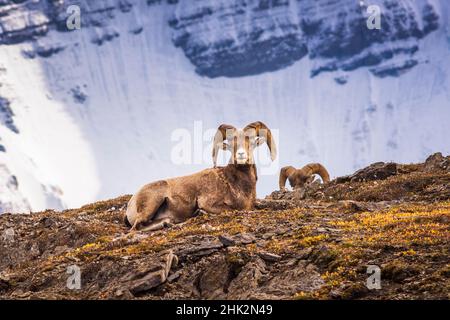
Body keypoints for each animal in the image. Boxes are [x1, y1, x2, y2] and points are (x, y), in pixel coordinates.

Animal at [125, 121, 276, 231]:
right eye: (231, 144)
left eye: (252, 142)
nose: (241, 155)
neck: (236, 185)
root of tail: (131, 203)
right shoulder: (208, 203)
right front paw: (200, 212)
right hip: (151, 204)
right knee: (135, 228)